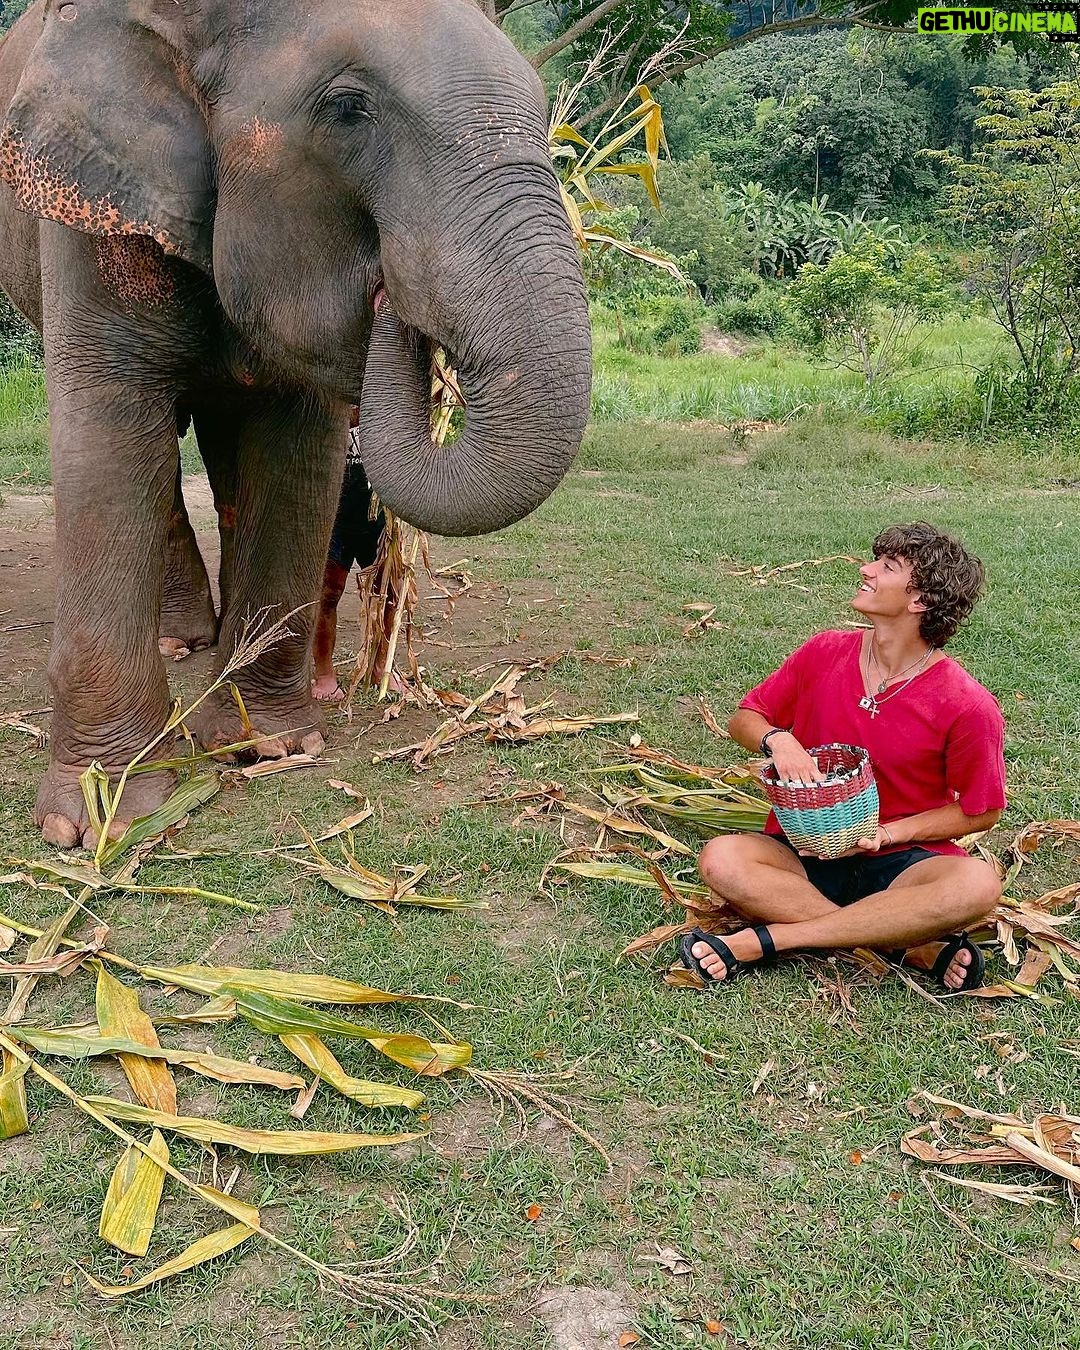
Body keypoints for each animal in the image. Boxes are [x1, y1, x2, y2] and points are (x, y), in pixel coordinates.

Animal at [0, 0, 592, 848]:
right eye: (348, 109)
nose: (385, 292)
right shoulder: (92, 200)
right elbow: (107, 428)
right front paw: (96, 823)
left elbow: (295, 448)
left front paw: (269, 747)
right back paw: (180, 641)